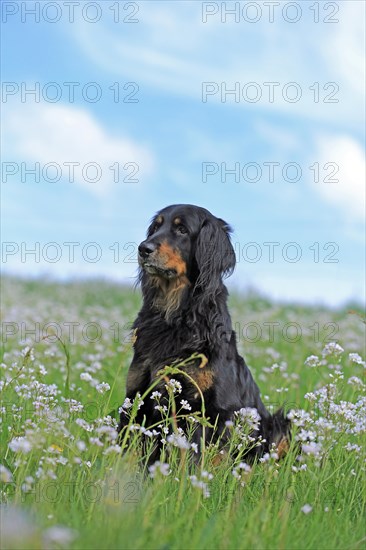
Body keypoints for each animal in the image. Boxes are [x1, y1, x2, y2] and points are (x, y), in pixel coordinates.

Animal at [118, 205, 290, 460]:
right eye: (156, 227)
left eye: (181, 229)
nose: (143, 248)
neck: (175, 314)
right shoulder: (136, 395)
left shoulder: (203, 409)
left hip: (280, 427)